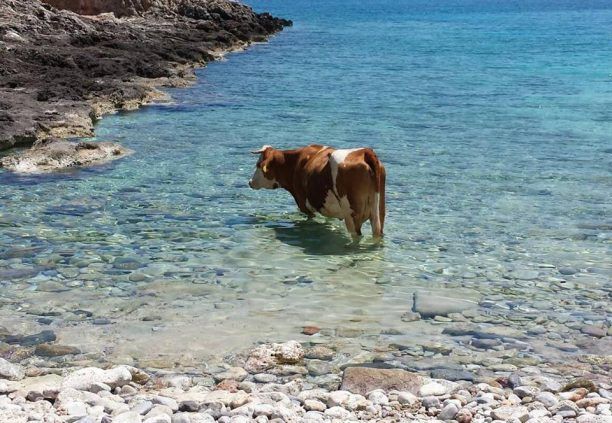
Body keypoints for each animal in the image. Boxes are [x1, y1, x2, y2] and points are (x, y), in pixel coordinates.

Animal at [246, 145, 384, 238]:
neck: (294, 163)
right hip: (378, 211)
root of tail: (363, 151)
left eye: (258, 165)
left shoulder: (304, 205)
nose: (250, 182)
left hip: (352, 215)